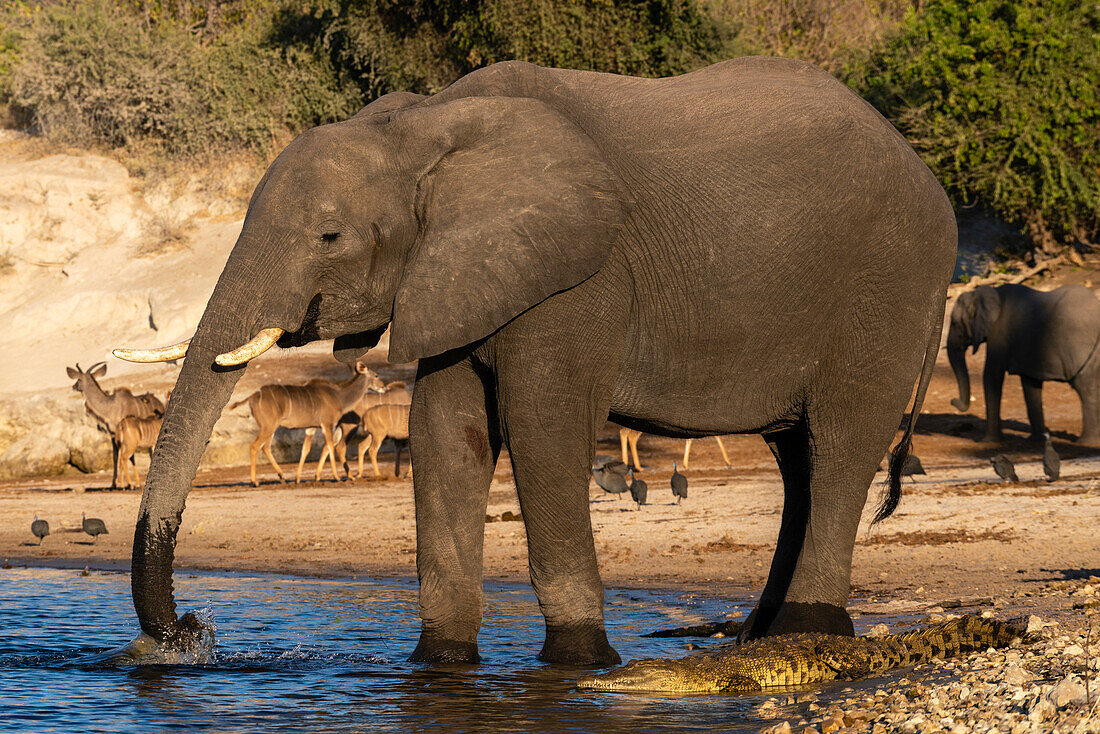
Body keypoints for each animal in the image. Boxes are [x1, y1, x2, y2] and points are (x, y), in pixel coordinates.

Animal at [229, 363, 385, 488]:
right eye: (376, 375)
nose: (383, 387)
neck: (338, 396)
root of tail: (254, 396)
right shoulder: (327, 424)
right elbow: (330, 446)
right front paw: (338, 477)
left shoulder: (311, 428)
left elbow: (306, 449)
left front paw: (299, 479)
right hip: (269, 426)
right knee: (254, 446)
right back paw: (255, 481)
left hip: (270, 427)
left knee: (265, 447)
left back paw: (283, 477)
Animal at [946, 283, 1100, 442]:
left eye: (955, 323)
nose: (952, 401)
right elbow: (1030, 385)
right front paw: (1036, 440)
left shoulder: (1000, 331)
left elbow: (992, 376)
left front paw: (988, 442)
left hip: (1080, 348)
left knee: (1085, 387)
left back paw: (1085, 443)